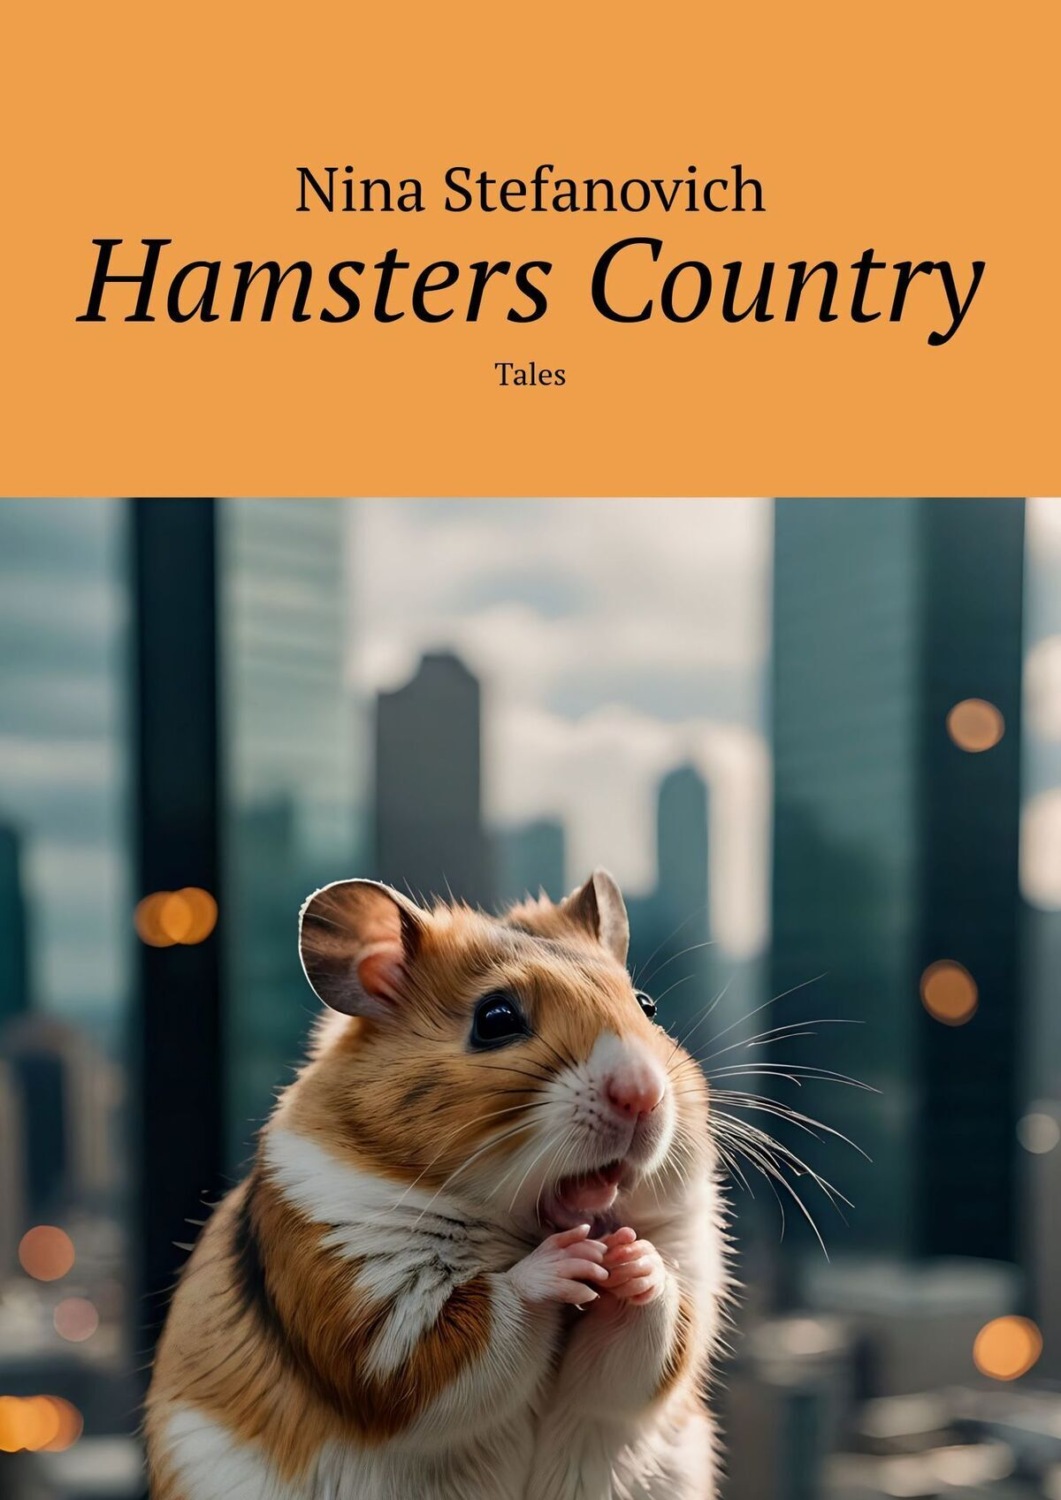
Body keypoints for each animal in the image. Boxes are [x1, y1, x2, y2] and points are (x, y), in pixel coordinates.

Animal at [146, 870, 728, 1500]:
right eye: (495, 1019)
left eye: (647, 1006)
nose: (644, 1094)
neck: (522, 1222)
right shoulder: (375, 1319)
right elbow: (477, 1327)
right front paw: (568, 1262)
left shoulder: (678, 1293)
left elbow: (644, 1347)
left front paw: (633, 1260)